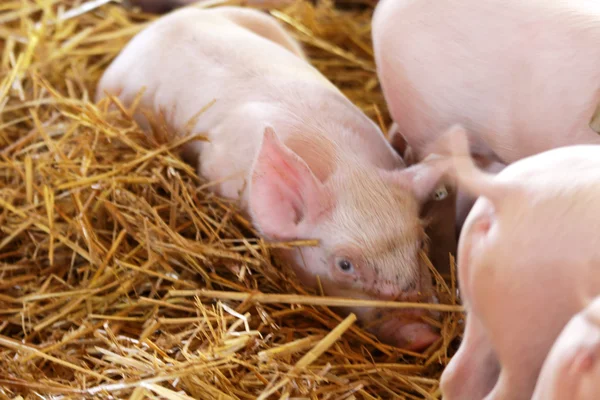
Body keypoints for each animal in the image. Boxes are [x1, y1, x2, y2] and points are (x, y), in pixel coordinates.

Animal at [96, 5, 450, 350]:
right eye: (344, 265)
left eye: (421, 242)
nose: (424, 334)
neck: (349, 167)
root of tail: (158, 25)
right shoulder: (215, 169)